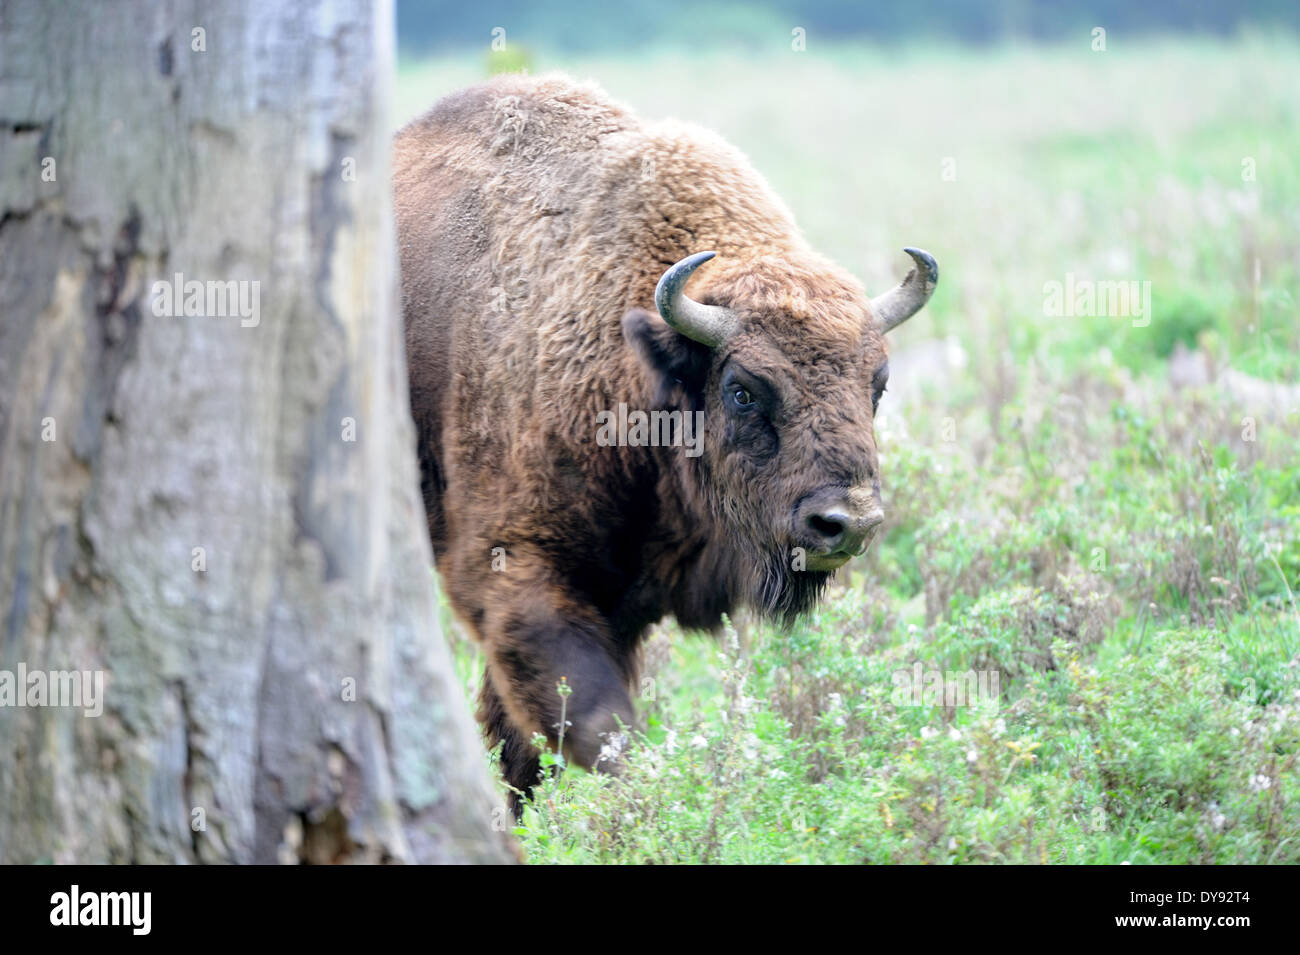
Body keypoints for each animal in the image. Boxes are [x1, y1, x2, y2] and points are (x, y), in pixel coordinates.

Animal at [390, 74, 941, 805]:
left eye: (876, 383)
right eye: (743, 389)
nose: (845, 524)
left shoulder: (621, 601)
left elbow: (525, 741)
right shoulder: (513, 570)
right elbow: (595, 726)